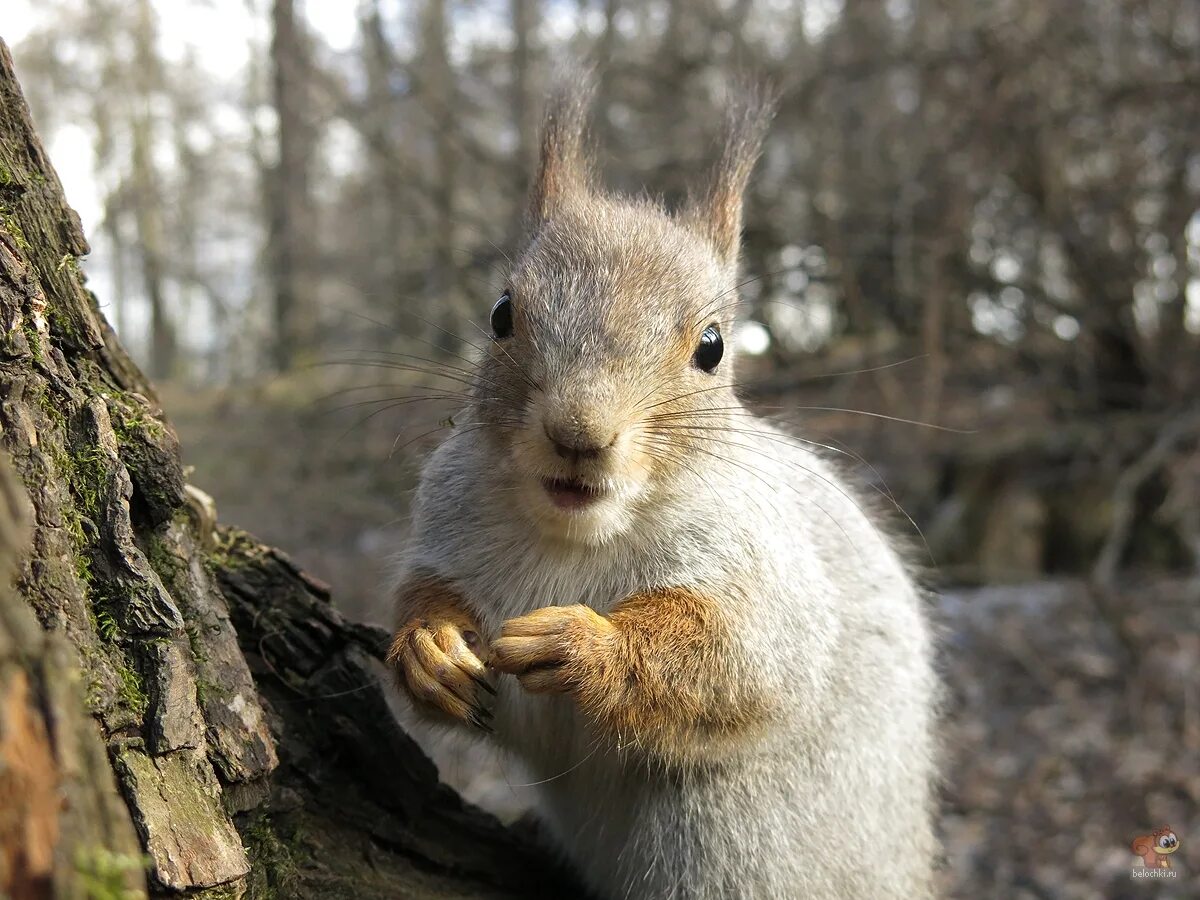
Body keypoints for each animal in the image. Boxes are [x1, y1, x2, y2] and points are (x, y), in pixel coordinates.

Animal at [388, 79, 940, 900]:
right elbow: (422, 594)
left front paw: (585, 645)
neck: (575, 535)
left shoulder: (762, 561)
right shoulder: (445, 520)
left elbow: (742, 658)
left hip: (722, 841)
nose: (579, 434)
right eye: (501, 314)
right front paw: (429, 646)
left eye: (712, 348)